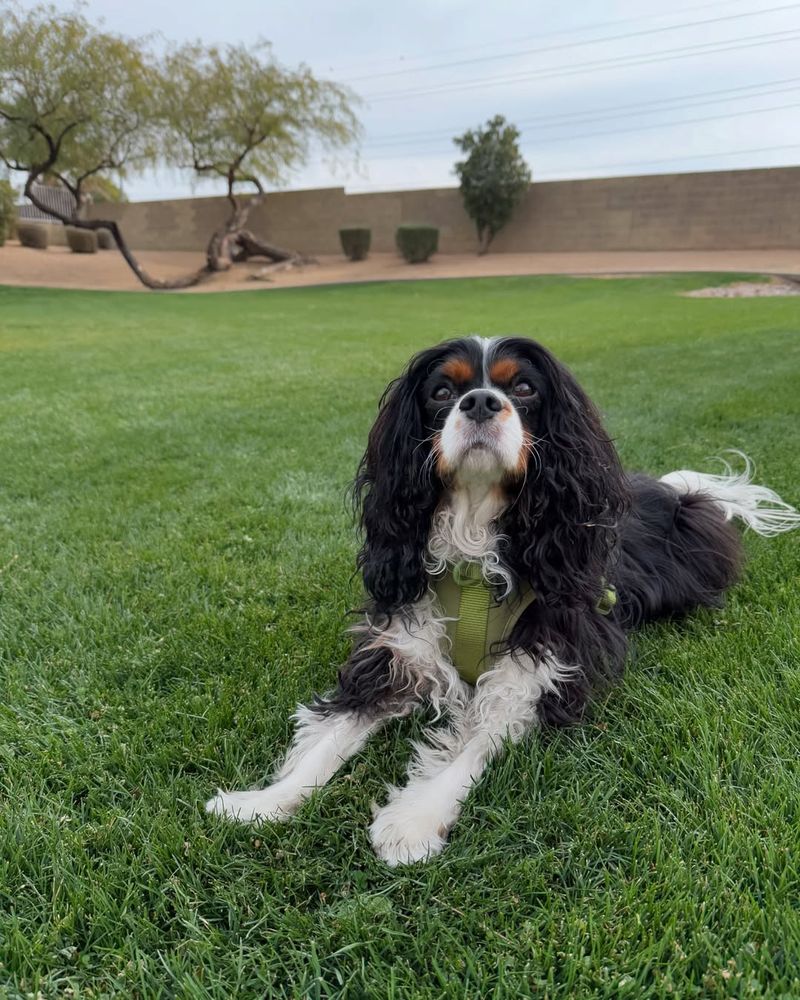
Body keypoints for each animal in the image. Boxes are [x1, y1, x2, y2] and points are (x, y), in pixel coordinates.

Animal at [208, 338, 800, 868]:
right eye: (442, 391)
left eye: (523, 387)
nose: (480, 402)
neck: (473, 548)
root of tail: (675, 491)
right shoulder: (398, 652)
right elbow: (328, 741)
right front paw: (262, 803)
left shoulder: (540, 667)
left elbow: (474, 746)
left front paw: (412, 822)